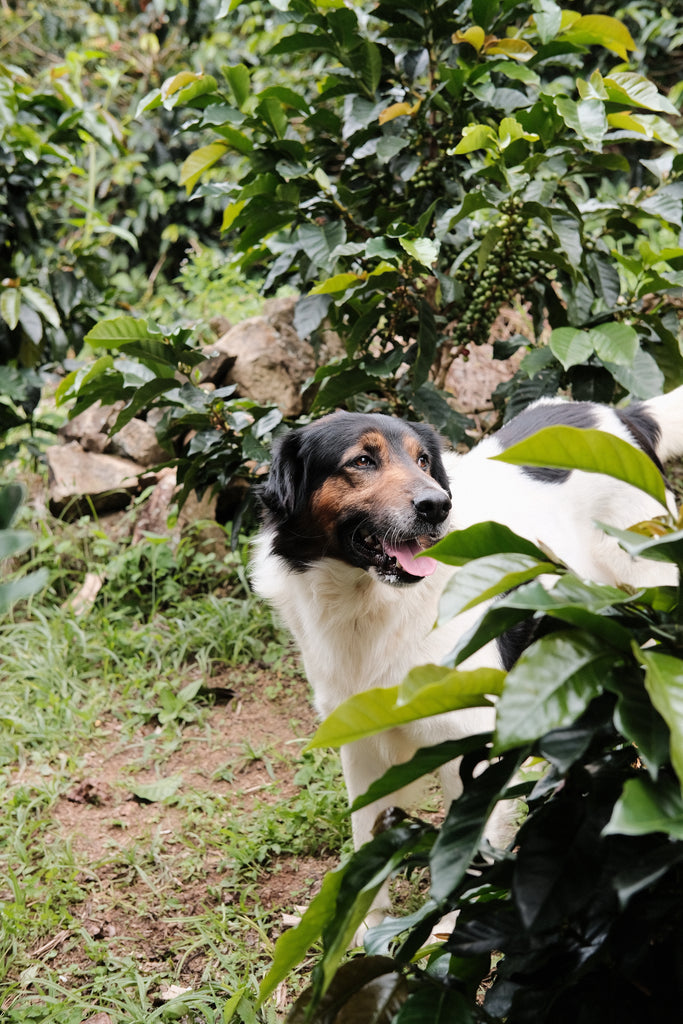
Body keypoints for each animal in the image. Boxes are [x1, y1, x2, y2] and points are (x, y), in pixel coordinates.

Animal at [250, 385, 683, 929]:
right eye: (363, 460)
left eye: (423, 460)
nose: (438, 505)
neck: (371, 605)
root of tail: (623, 414)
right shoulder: (359, 735)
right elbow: (365, 835)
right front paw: (365, 927)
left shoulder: (471, 740)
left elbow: (469, 848)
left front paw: (452, 927)